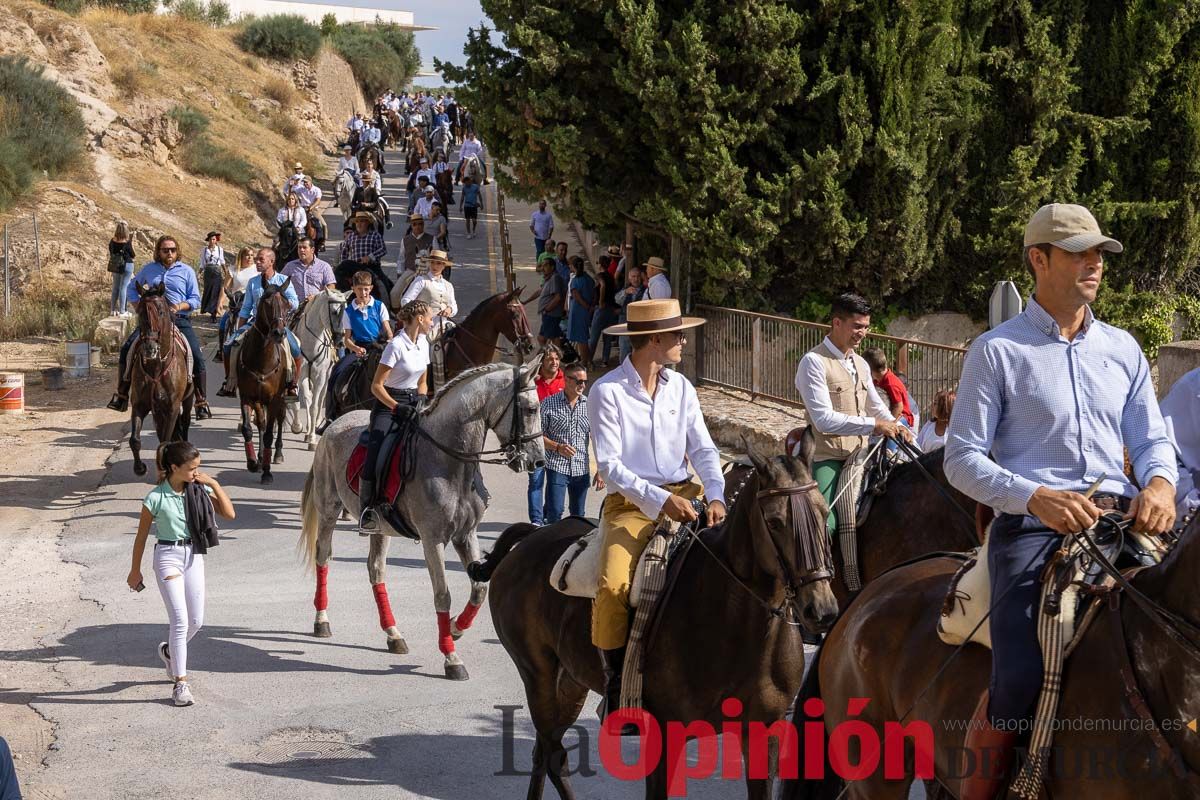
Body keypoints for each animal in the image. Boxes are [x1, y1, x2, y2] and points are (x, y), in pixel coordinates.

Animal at [126, 283, 192, 474]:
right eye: (140, 312)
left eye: (161, 312)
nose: (150, 348)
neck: (156, 368)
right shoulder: (139, 405)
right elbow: (135, 439)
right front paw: (140, 468)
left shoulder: (172, 407)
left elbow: (164, 442)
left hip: (188, 400)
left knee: (185, 424)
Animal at [234, 278, 292, 484]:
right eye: (266, 303)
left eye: (287, 305)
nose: (278, 333)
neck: (261, 360)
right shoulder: (246, 397)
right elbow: (248, 429)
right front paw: (252, 462)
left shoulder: (274, 399)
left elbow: (268, 435)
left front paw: (267, 472)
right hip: (259, 401)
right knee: (260, 422)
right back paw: (259, 458)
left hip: (282, 398)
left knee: (279, 420)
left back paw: (278, 454)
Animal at [286, 287, 348, 450]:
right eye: (334, 311)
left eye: (345, 310)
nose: (340, 341)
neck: (311, 343)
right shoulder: (300, 376)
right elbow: (302, 401)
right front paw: (300, 428)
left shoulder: (320, 377)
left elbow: (314, 406)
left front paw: (312, 438)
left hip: (326, 377)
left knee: (320, 400)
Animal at [297, 362, 547, 681]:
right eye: (530, 409)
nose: (538, 462)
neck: (451, 462)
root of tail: (334, 424)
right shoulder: (433, 540)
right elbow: (442, 595)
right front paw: (452, 658)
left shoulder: (467, 535)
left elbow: (479, 590)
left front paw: (456, 628)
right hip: (329, 510)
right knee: (323, 557)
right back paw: (322, 621)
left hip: (380, 528)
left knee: (376, 570)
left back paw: (393, 634)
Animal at [472, 438, 840, 800]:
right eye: (775, 521)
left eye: (823, 512)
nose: (821, 609)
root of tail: (530, 540)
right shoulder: (666, 734)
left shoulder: (764, 732)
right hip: (538, 675)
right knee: (552, 751)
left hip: (571, 680)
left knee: (545, 751)